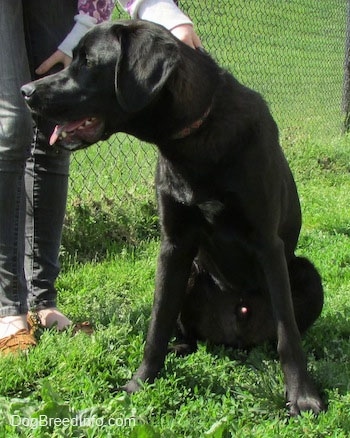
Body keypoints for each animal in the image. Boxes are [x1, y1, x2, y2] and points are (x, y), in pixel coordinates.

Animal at [20, 19, 324, 414]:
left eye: (87, 62)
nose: (26, 91)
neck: (195, 138)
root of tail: (236, 336)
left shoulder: (267, 245)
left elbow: (287, 331)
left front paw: (302, 395)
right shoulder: (174, 246)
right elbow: (158, 322)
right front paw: (140, 382)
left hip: (305, 272)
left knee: (281, 331)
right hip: (193, 272)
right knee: (186, 331)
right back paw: (182, 348)